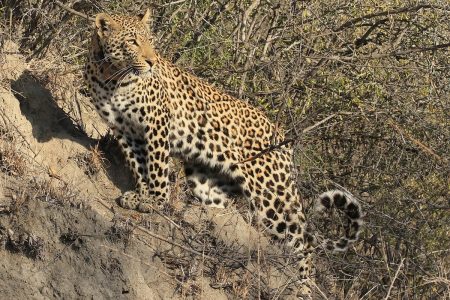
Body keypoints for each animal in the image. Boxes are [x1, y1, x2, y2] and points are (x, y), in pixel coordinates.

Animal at [84, 9, 364, 298]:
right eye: (132, 42)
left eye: (150, 40)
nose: (151, 62)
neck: (112, 75)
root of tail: (281, 136)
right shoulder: (125, 131)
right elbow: (139, 166)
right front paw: (140, 195)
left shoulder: (157, 124)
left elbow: (157, 168)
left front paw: (155, 201)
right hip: (208, 184)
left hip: (271, 196)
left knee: (303, 241)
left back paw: (303, 288)